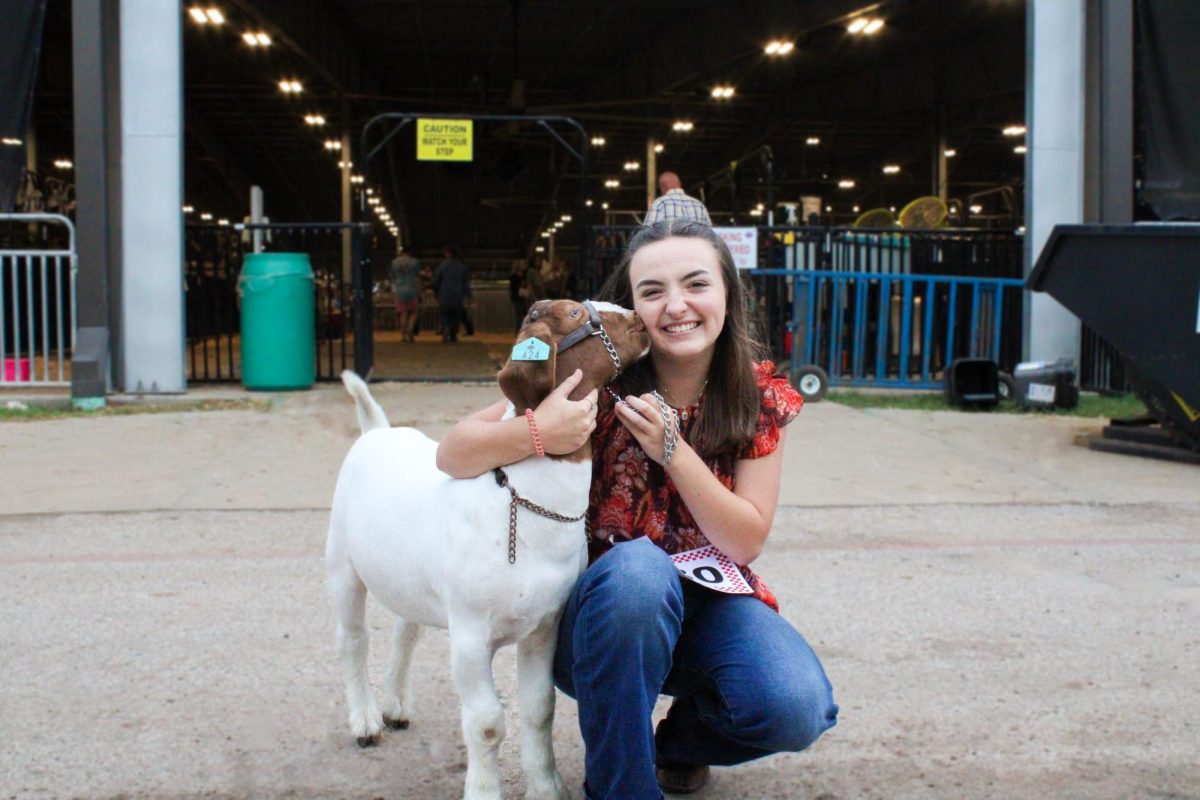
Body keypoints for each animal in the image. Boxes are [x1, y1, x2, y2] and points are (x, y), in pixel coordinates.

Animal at [326, 302, 648, 800]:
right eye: (576, 312)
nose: (639, 320)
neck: (520, 503)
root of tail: (376, 432)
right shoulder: (470, 634)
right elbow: (487, 723)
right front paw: (483, 789)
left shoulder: (544, 626)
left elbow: (539, 708)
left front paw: (547, 786)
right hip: (342, 564)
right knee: (353, 640)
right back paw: (365, 720)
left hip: (410, 580)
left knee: (405, 629)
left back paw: (395, 704)